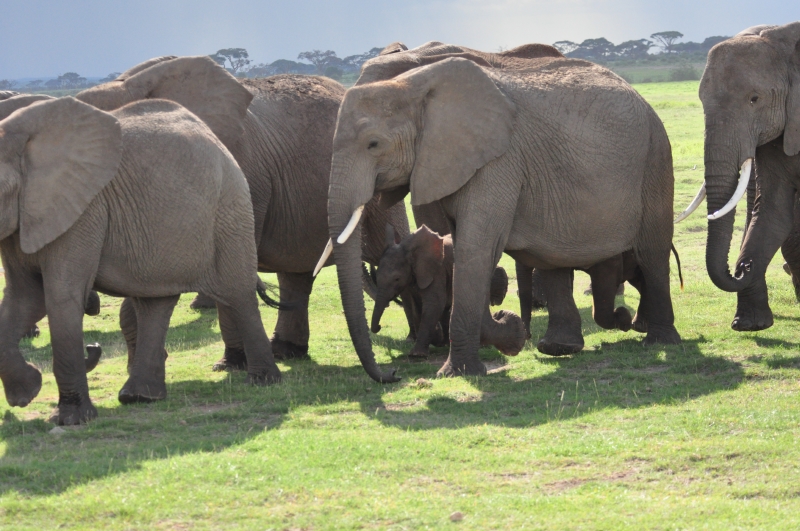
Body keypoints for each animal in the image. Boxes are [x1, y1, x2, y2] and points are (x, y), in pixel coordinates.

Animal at [0, 92, 281, 424]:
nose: (93, 347)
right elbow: (23, 297)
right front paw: (26, 392)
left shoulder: (84, 212)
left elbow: (59, 295)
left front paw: (70, 419)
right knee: (154, 303)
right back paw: (140, 397)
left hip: (229, 208)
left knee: (238, 292)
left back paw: (263, 381)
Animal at [371, 224, 522, 358]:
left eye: (397, 278)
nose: (378, 327)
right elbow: (418, 308)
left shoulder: (437, 271)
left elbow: (434, 304)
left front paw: (417, 355)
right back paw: (445, 343)